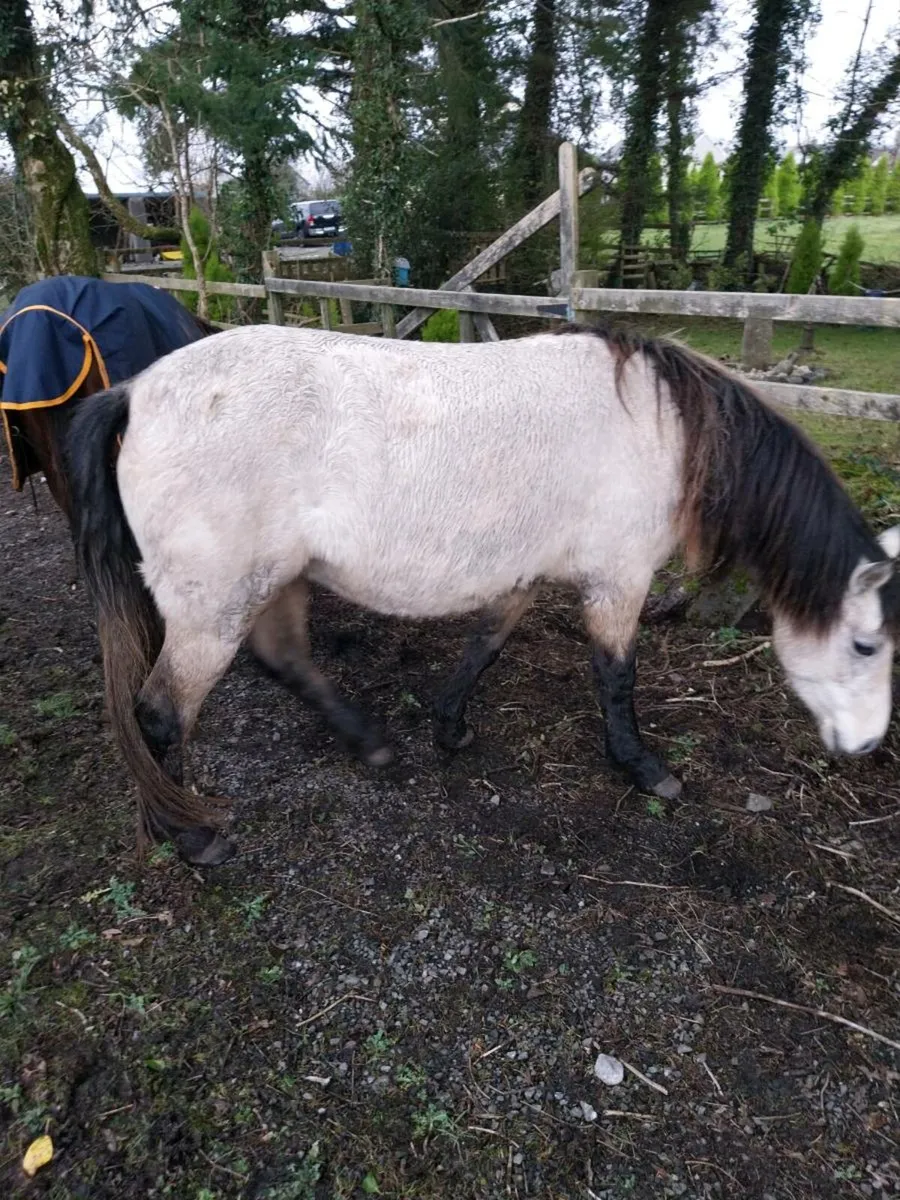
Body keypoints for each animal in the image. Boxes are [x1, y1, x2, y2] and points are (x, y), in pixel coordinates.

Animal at [66, 322, 900, 867]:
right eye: (866, 645)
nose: (865, 747)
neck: (666, 431)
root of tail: (136, 392)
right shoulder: (619, 576)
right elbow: (615, 676)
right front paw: (641, 767)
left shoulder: (523, 573)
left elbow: (487, 644)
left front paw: (449, 725)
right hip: (214, 606)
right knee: (159, 714)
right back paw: (188, 833)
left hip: (273, 580)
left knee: (283, 661)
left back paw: (370, 744)